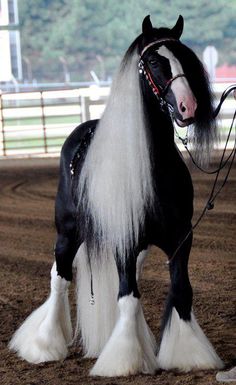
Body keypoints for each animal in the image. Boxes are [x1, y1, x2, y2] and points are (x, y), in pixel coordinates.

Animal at [9, 15, 224, 376]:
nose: (188, 107)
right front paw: (125, 361)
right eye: (154, 62)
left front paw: (189, 355)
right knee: (60, 277)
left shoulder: (181, 237)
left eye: (184, 57)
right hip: (68, 232)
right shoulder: (126, 239)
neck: (153, 167)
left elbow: (180, 290)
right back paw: (43, 345)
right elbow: (127, 297)